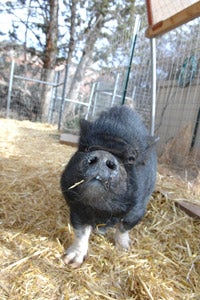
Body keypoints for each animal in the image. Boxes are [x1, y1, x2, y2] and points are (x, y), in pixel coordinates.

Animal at [60, 105, 157, 268]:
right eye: (86, 148)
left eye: (131, 158)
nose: (103, 155)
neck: (102, 210)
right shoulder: (77, 207)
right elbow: (80, 231)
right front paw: (70, 262)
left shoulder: (138, 208)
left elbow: (125, 227)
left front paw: (124, 249)